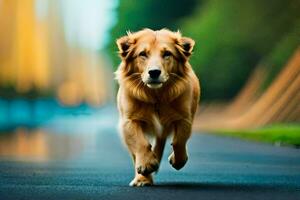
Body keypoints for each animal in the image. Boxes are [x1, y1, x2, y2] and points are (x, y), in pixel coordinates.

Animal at [116, 28, 200, 186]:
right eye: (142, 54)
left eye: (167, 54)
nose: (154, 72)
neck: (156, 97)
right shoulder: (129, 120)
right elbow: (140, 143)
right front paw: (146, 166)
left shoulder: (184, 118)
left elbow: (179, 140)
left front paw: (178, 161)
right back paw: (143, 176)